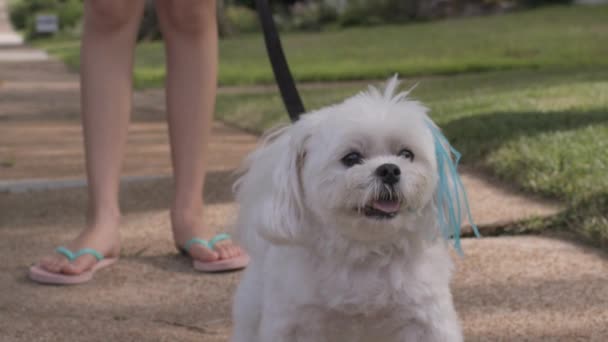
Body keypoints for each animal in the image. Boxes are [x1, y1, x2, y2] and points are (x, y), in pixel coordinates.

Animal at [230, 77, 472, 342]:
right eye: (351, 158)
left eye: (406, 154)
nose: (390, 169)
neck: (363, 251)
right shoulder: (292, 323)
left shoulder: (426, 319)